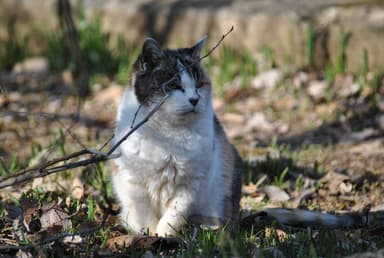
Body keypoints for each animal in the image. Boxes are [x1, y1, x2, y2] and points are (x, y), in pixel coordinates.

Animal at [111, 35, 243, 236]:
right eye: (174, 85)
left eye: (199, 85)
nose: (195, 99)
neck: (169, 135)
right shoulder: (134, 183)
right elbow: (145, 216)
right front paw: (148, 236)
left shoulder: (191, 185)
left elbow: (174, 215)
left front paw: (164, 236)